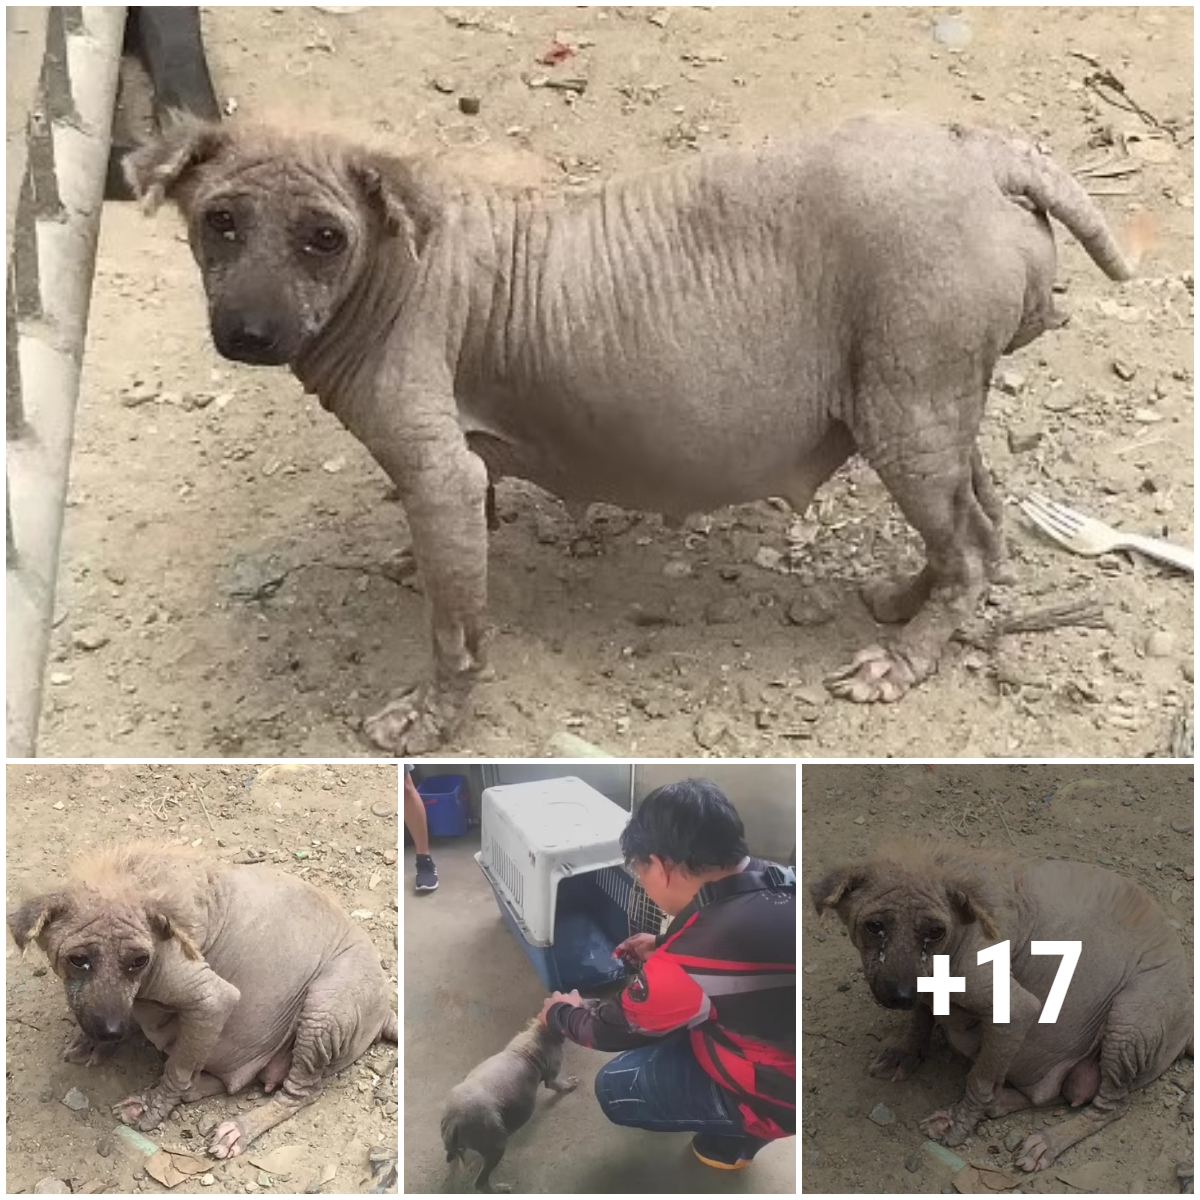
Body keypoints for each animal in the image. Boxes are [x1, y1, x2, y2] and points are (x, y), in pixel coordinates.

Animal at [126, 112, 1137, 748]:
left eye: (324, 239)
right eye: (218, 222)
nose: (249, 333)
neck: (398, 265)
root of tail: (982, 153)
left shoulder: (439, 474)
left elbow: (455, 632)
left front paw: (432, 720)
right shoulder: (460, 476)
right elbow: (461, 552)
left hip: (906, 410)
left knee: (968, 545)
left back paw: (904, 659)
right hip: (934, 407)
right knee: (983, 523)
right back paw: (908, 600)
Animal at [811, 844, 1195, 1171]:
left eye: (935, 932)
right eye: (874, 926)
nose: (902, 995)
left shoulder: (1015, 1009)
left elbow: (979, 1079)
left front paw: (958, 1122)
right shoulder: (926, 987)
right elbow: (921, 1020)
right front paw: (906, 1054)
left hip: (1131, 1022)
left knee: (1111, 1105)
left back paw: (1046, 1141)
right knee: (1052, 1092)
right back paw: (1001, 1103)